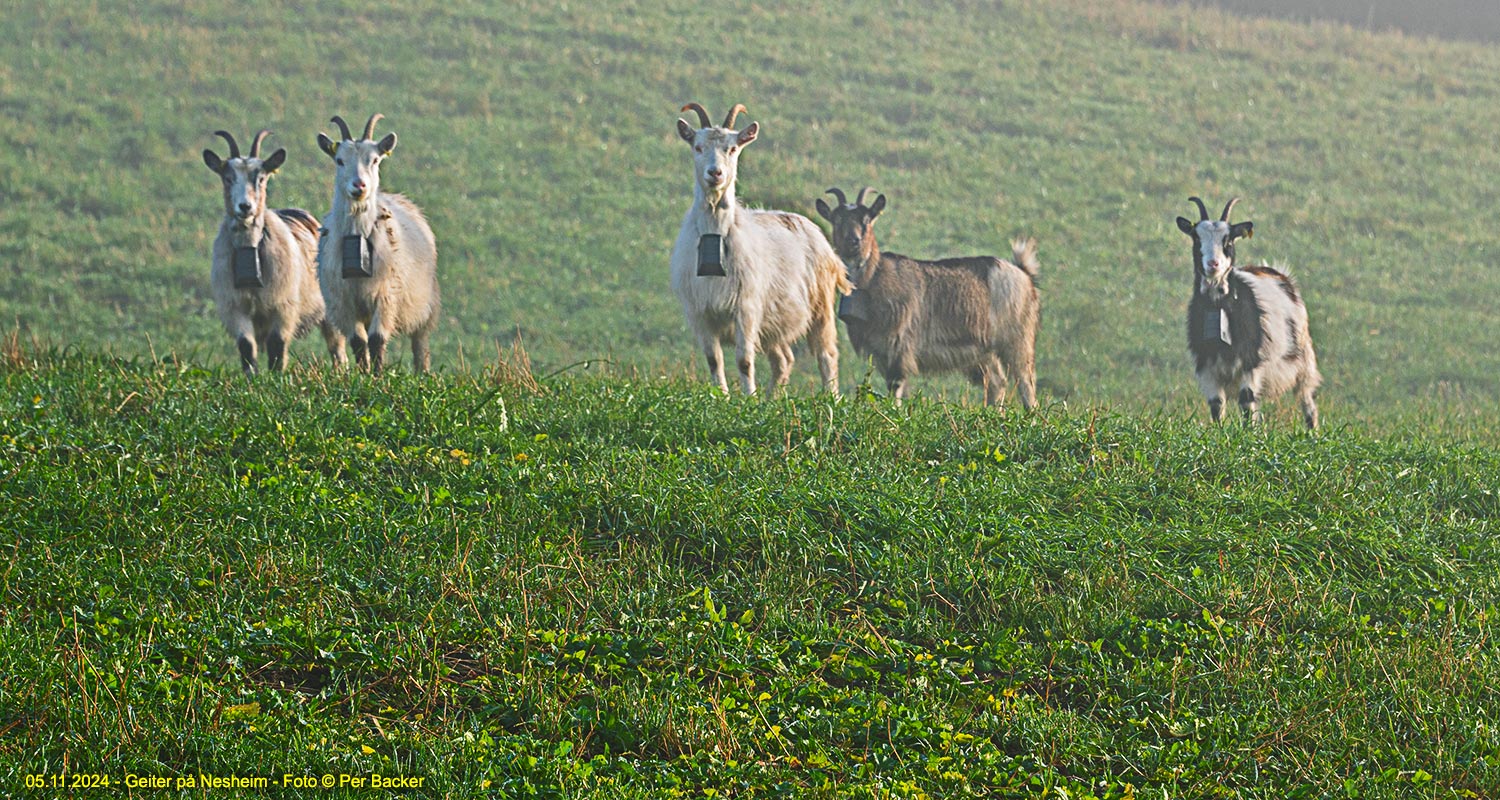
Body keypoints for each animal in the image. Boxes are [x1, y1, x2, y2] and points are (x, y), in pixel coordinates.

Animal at [202, 128, 343, 373]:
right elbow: (246, 346)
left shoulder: (283, 306)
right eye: (228, 178)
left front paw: (278, 377)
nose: (245, 207)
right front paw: (252, 378)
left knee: (337, 346)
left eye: (261, 178)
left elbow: (277, 347)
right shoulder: (236, 308)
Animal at [313, 113, 438, 373]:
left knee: (420, 344)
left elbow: (377, 339)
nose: (359, 185)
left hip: (426, 305)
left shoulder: (386, 295)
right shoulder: (344, 302)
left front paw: (378, 375)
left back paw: (423, 373)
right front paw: (364, 374)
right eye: (339, 160)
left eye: (375, 160)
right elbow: (359, 342)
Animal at [672, 101, 852, 393]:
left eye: (732, 148)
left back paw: (831, 397)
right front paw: (722, 396)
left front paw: (748, 397)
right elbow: (714, 360)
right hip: (774, 321)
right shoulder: (701, 312)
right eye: (697, 147)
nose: (715, 173)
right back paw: (771, 398)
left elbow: (744, 360)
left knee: (827, 355)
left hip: (820, 306)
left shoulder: (746, 308)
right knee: (784, 360)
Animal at [816, 187, 1038, 408]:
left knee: (1025, 382)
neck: (875, 277)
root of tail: (1024, 274)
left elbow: (896, 387)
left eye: (867, 219)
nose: (853, 241)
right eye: (836, 219)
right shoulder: (880, 351)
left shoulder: (899, 346)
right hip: (984, 351)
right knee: (997, 383)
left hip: (1018, 338)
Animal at [1176, 195, 1320, 426]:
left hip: (1304, 361)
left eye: (1228, 241)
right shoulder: (1207, 367)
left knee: (1307, 400)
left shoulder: (1250, 362)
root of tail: (1278, 273)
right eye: (1196, 239)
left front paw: (1248, 433)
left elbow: (1246, 402)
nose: (1213, 264)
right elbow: (1217, 405)